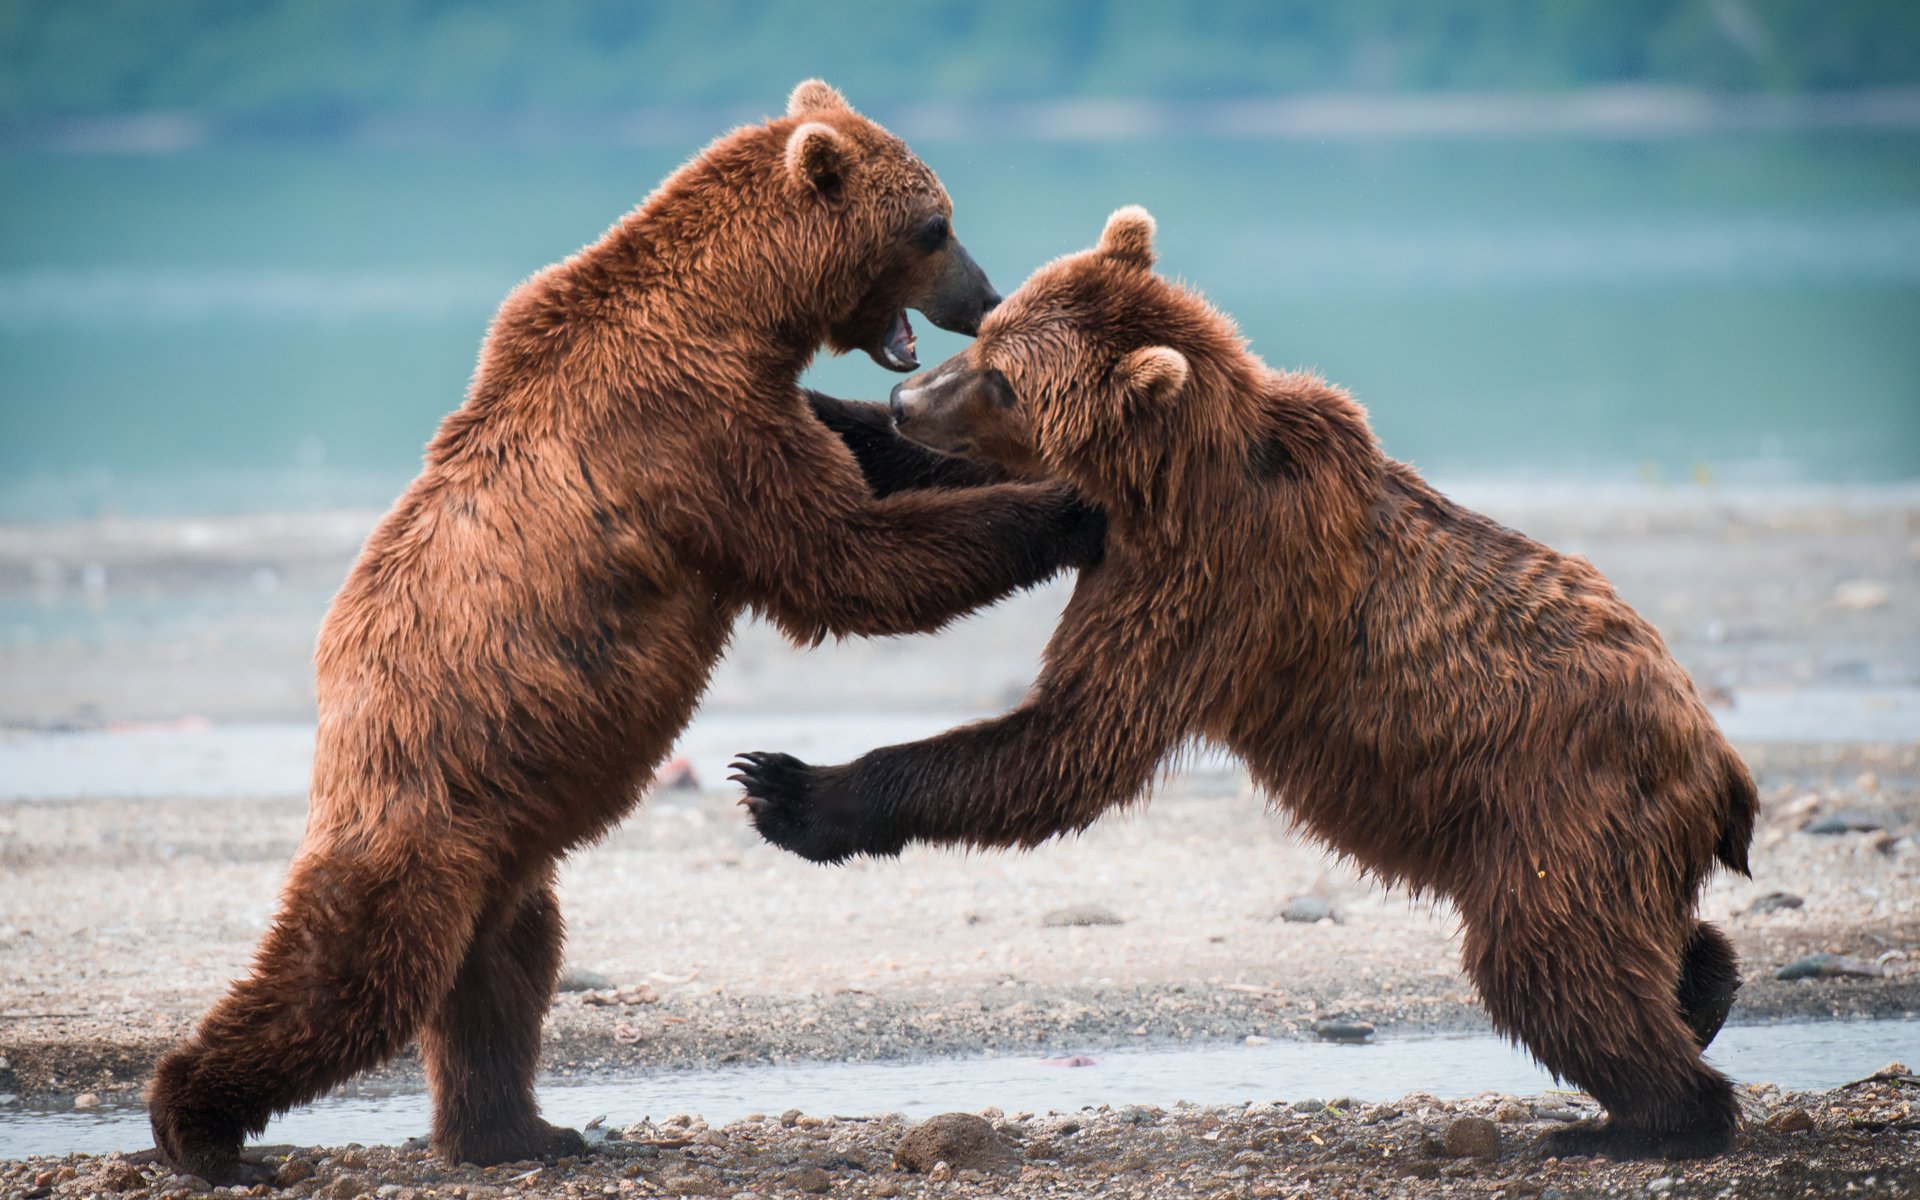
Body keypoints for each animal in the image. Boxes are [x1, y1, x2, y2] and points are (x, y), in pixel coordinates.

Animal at [142, 79, 1105, 1182]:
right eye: (937, 225)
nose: (983, 295)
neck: (739, 313)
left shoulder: (738, 407)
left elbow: (863, 494)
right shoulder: (693, 431)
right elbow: (846, 560)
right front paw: (1066, 506)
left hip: (505, 849)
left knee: (506, 976)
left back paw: (520, 1131)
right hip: (421, 808)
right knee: (354, 977)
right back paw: (199, 1125)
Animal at [733, 205, 1758, 1159]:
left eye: (1003, 379)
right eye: (987, 335)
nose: (906, 395)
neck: (1167, 479)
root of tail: (1718, 761)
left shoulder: (1214, 582)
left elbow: (1072, 742)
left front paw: (791, 789)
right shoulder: (1124, 528)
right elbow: (954, 483)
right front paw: (815, 409)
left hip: (1554, 801)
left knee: (1546, 959)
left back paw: (1640, 1120)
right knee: (1630, 939)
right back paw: (1700, 994)